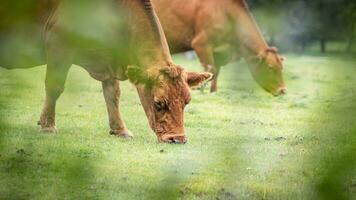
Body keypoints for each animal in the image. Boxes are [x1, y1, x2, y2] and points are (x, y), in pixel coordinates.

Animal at [0, 0, 211, 144]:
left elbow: (112, 94)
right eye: (159, 103)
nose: (178, 139)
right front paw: (47, 125)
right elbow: (55, 87)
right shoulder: (59, 43)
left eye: (187, 102)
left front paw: (120, 130)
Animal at [153, 0, 286, 94]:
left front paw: (213, 91)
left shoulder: (220, 53)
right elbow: (210, 70)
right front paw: (201, 91)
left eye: (281, 67)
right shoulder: (201, 44)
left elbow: (216, 72)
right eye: (270, 67)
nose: (283, 90)